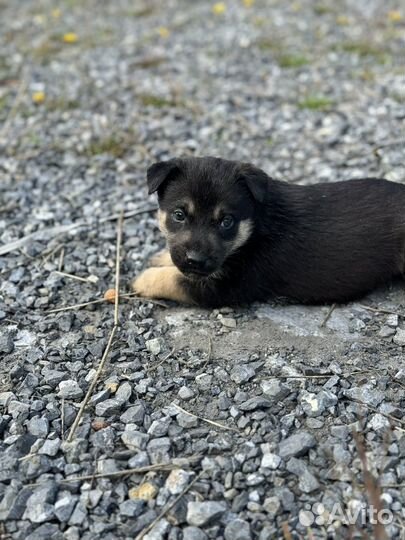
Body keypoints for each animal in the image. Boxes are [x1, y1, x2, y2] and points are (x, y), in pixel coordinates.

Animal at [132, 156, 404, 308]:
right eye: (179, 215)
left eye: (226, 222)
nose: (195, 261)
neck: (255, 226)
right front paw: (161, 257)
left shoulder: (225, 287)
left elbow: (173, 279)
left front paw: (142, 279)